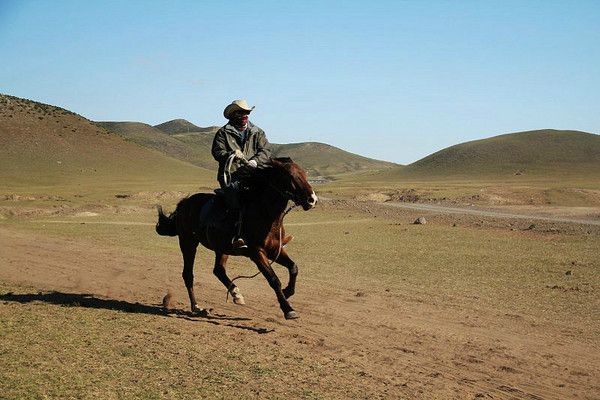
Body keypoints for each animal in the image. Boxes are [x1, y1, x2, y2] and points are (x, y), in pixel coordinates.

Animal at [155, 158, 316, 320]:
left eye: (304, 174)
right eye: (290, 176)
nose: (312, 200)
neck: (265, 214)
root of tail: (184, 204)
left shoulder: (275, 250)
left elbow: (293, 267)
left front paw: (288, 291)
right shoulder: (257, 253)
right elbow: (273, 279)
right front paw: (288, 309)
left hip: (221, 247)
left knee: (218, 270)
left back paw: (236, 293)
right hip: (188, 242)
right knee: (188, 274)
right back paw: (196, 307)